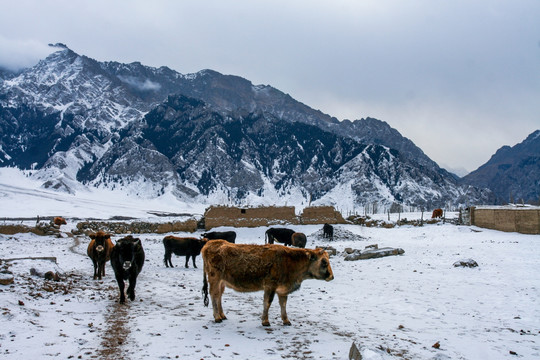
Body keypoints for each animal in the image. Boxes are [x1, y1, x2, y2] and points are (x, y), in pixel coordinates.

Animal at [200, 239, 332, 326]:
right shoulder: (270, 285)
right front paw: (265, 321)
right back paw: (217, 317)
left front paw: (286, 320)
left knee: (219, 296)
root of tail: (210, 243)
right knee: (214, 295)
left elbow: (283, 304)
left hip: (222, 282)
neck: (289, 262)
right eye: (324, 262)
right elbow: (267, 302)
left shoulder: (282, 289)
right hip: (215, 279)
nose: (332, 276)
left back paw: (222, 315)